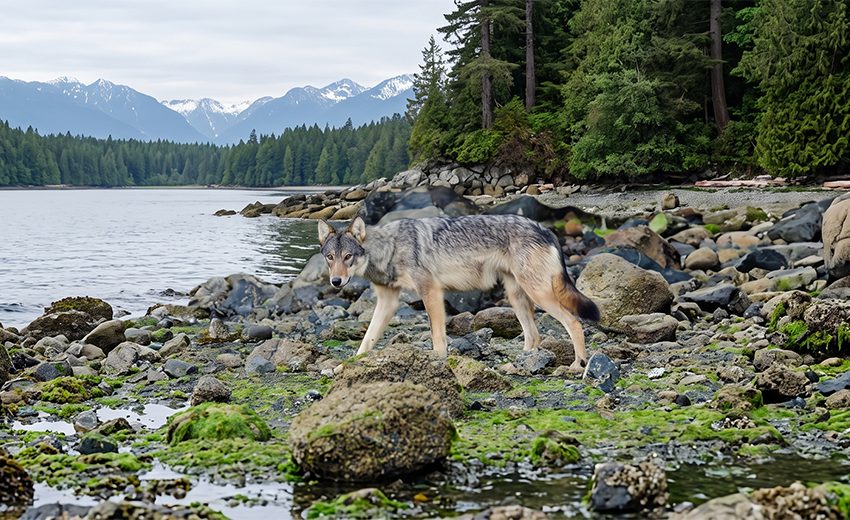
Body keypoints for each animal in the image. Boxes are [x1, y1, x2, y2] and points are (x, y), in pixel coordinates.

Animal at [318, 214, 600, 372]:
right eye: (330, 257)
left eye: (348, 256)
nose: (336, 281)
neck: (390, 247)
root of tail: (546, 229)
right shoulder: (387, 302)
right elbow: (366, 342)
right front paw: (344, 366)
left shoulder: (430, 291)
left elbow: (438, 336)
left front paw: (437, 360)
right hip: (517, 297)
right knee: (534, 335)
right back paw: (519, 364)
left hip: (539, 293)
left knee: (574, 322)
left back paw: (577, 365)